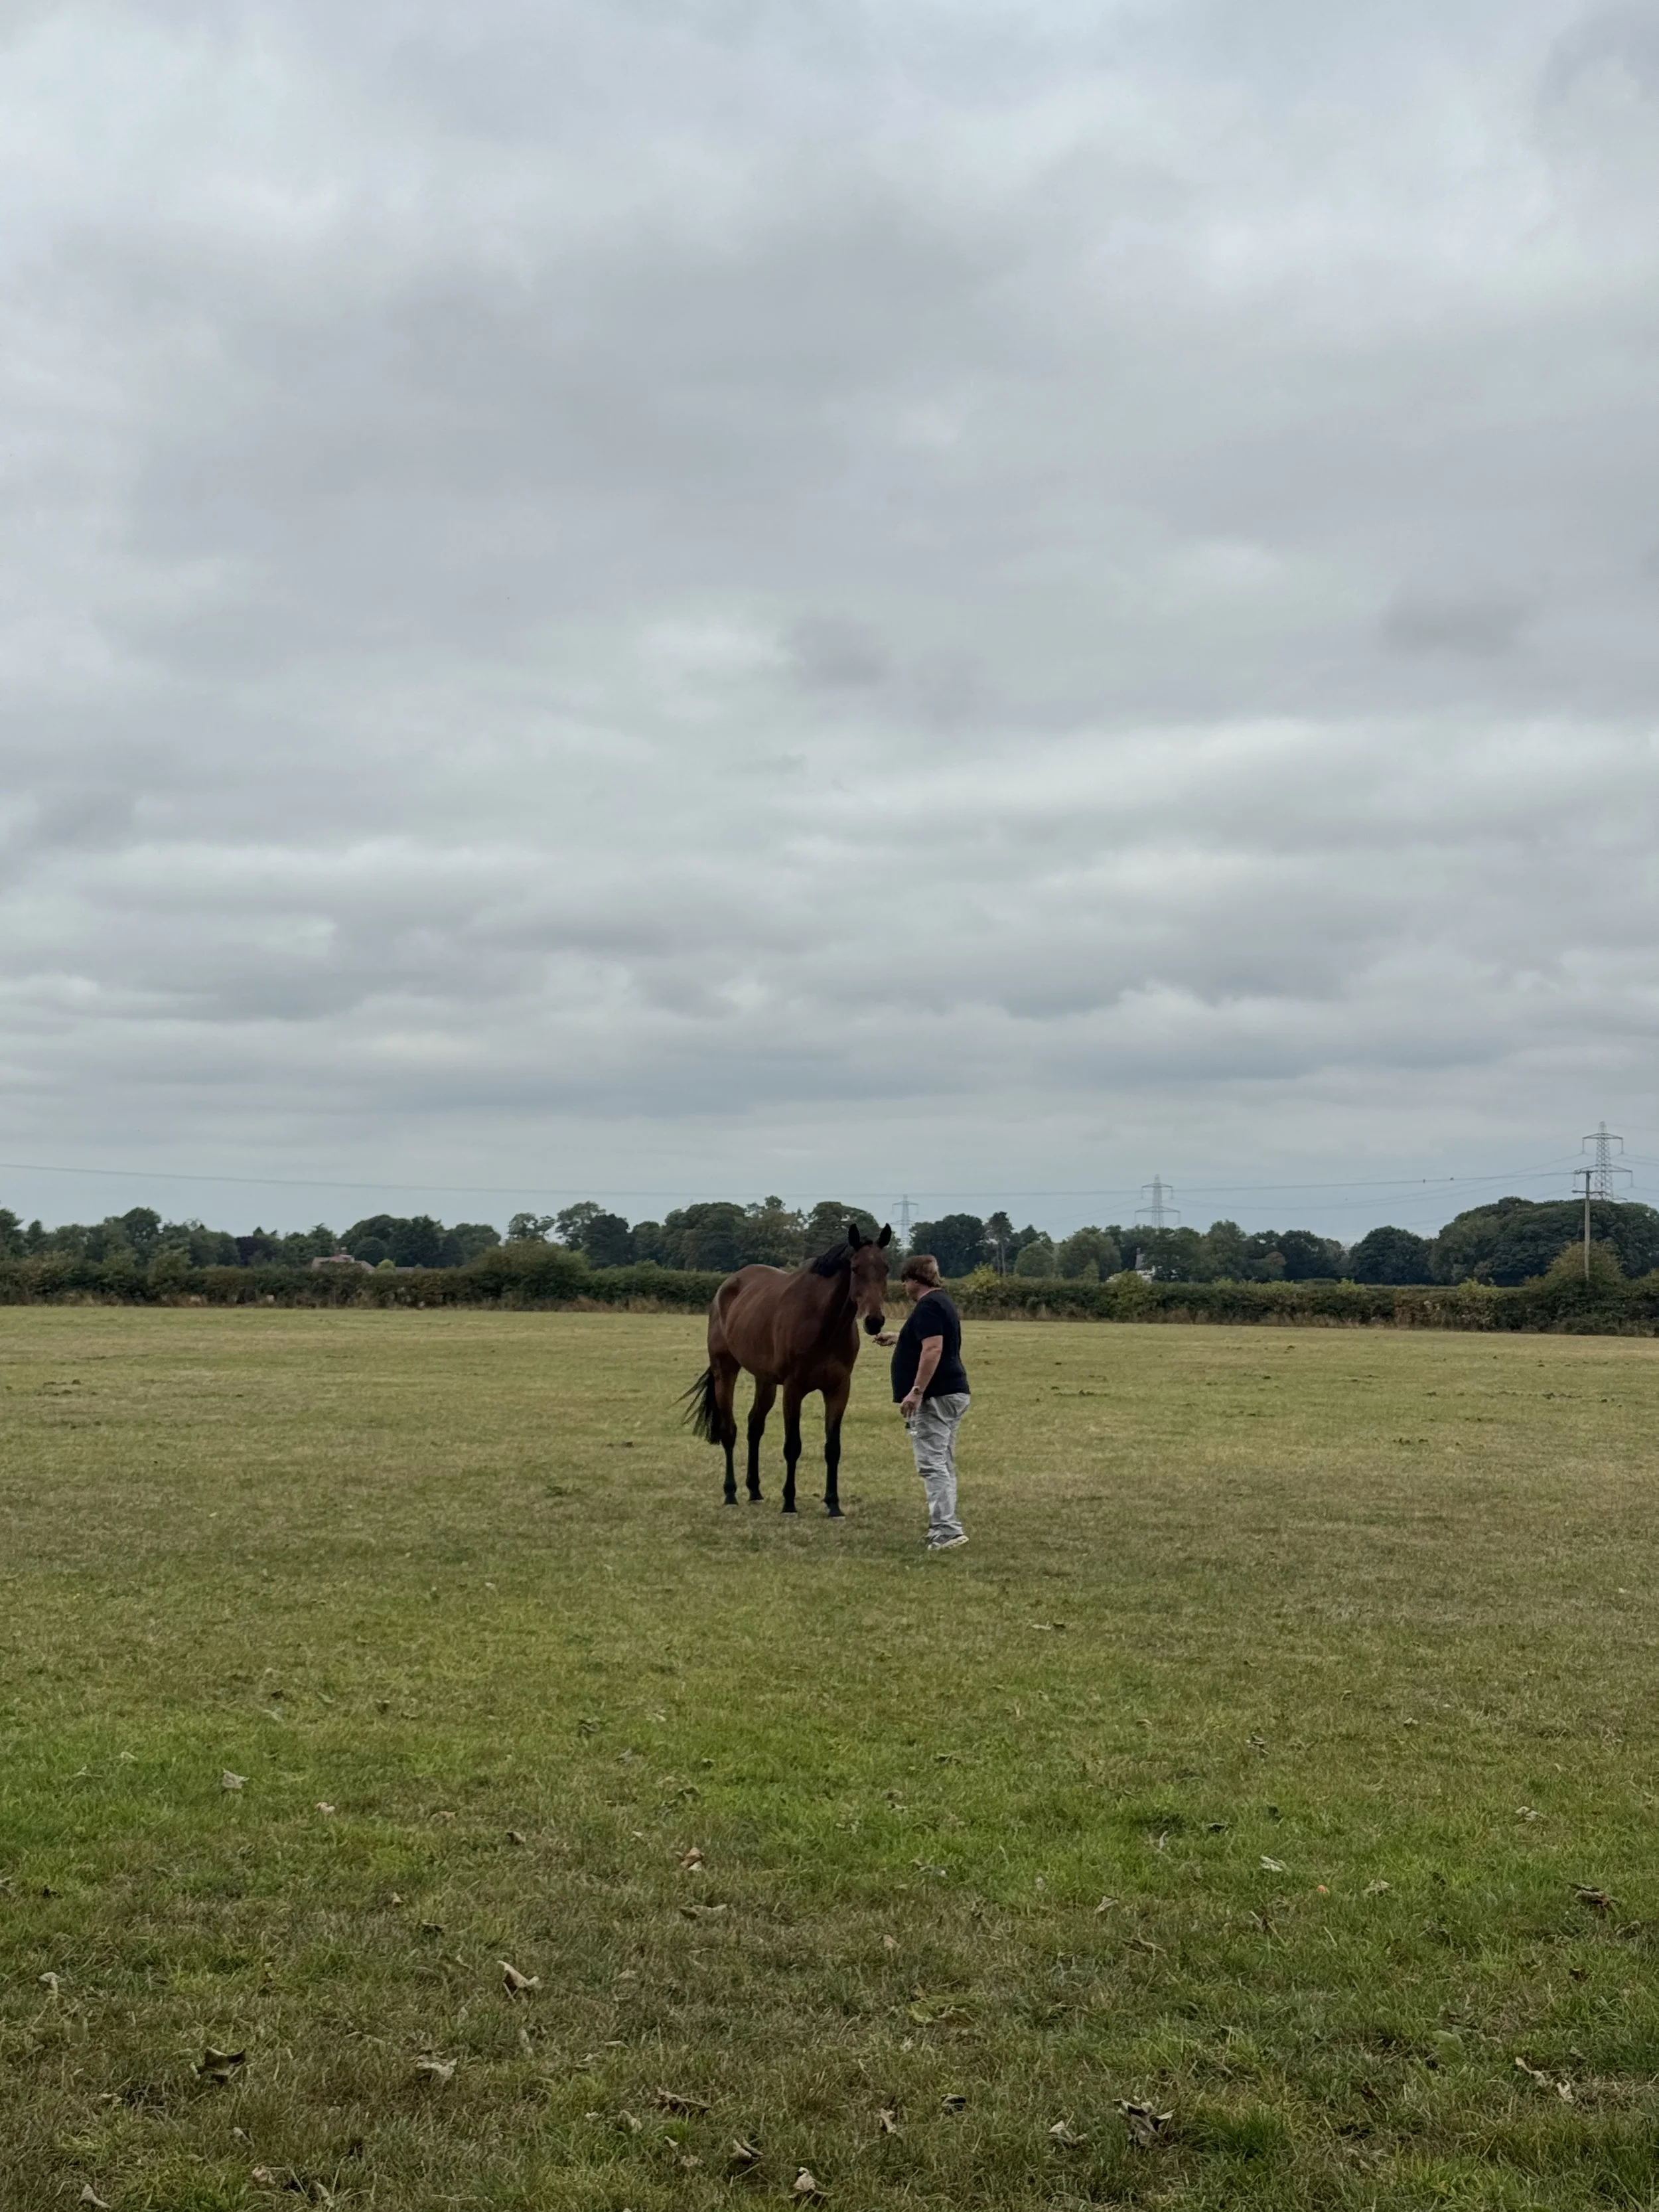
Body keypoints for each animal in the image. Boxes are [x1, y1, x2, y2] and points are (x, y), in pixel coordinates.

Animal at [682, 1223, 892, 1515]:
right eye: (855, 1268)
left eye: (886, 1268)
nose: (874, 1321)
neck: (823, 1324)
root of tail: (728, 1285)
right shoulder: (794, 1389)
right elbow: (792, 1446)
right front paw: (789, 1502)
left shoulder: (839, 1389)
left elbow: (833, 1448)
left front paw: (833, 1504)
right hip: (725, 1371)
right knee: (729, 1431)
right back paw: (731, 1493)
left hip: (765, 1381)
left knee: (754, 1426)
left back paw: (755, 1491)